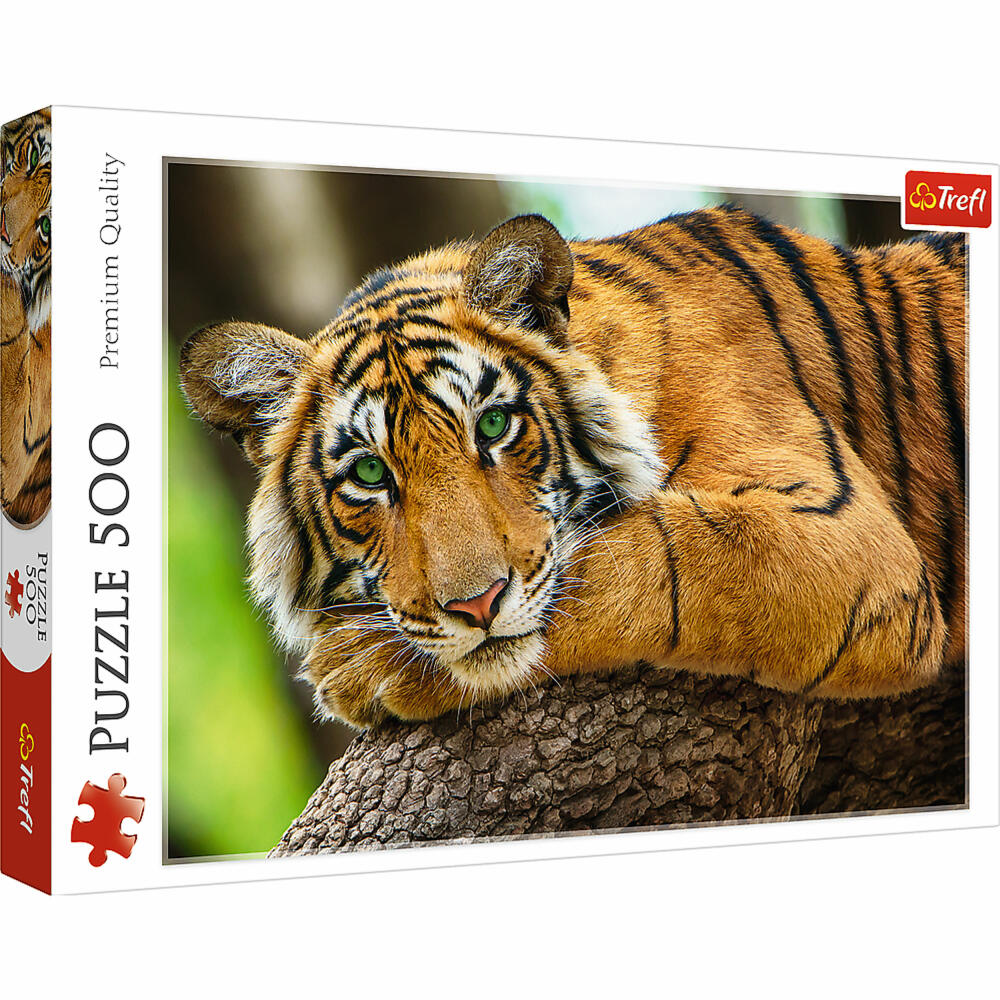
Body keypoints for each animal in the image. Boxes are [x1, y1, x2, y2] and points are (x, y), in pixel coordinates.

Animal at [179, 205, 966, 729]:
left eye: (493, 426)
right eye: (370, 475)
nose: (475, 606)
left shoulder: (842, 535)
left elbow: (642, 559)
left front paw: (357, 666)